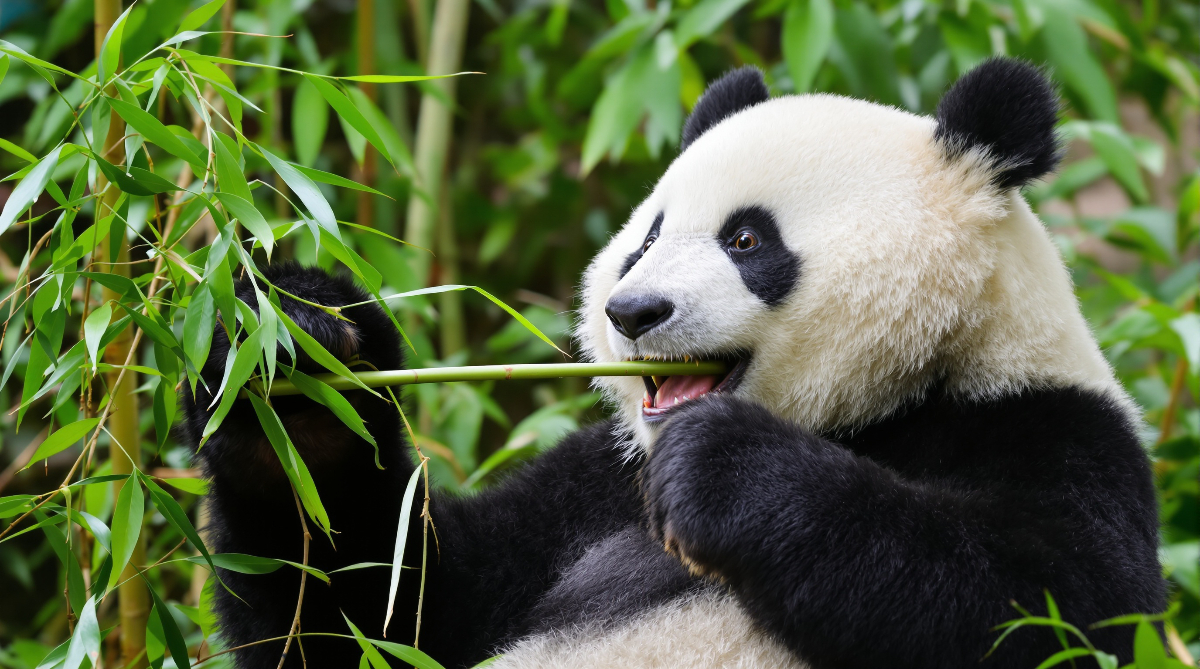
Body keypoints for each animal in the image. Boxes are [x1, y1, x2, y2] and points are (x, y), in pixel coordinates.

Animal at [184, 57, 1166, 669]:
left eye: (746, 239)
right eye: (647, 238)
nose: (633, 313)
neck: (890, 404)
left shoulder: (1050, 430)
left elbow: (1039, 604)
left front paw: (727, 470)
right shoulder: (593, 484)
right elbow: (389, 608)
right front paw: (297, 384)